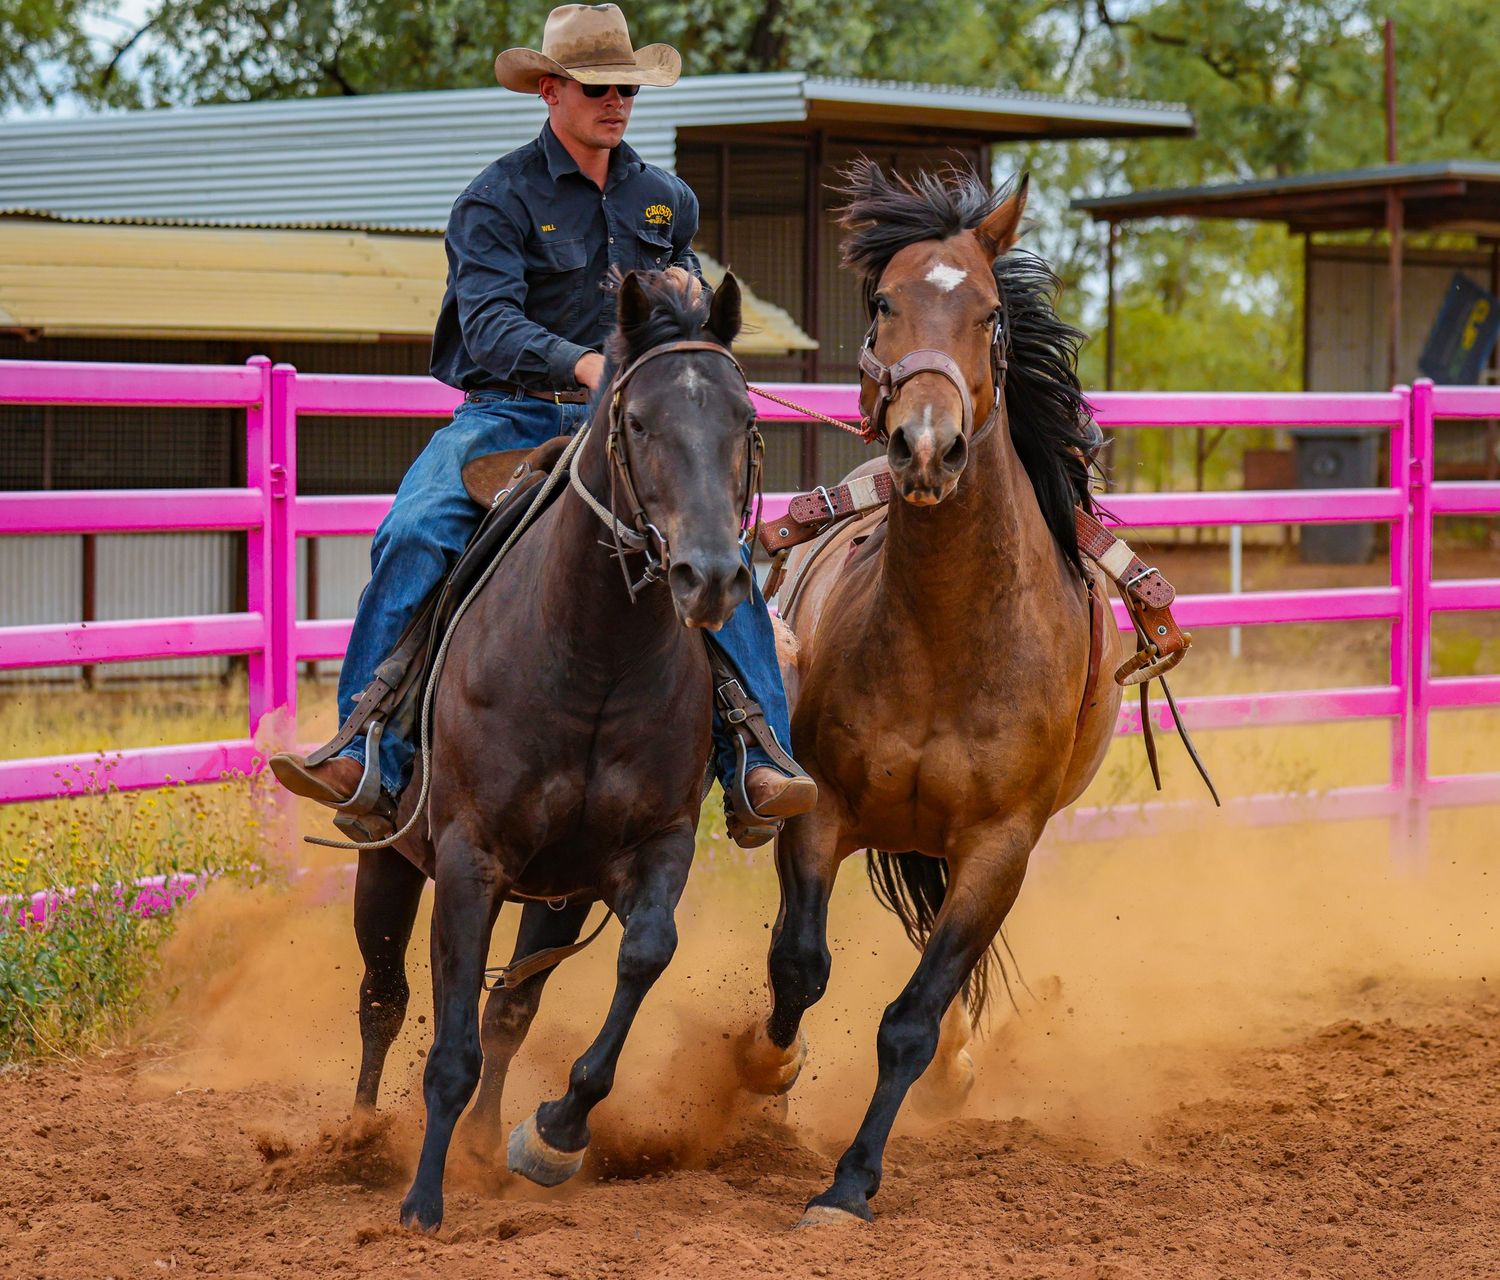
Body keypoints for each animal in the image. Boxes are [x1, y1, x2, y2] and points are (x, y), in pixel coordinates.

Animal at [346, 269, 760, 1233]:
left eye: (743, 419)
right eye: (638, 421)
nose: (711, 575)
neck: (594, 656)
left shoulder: (654, 847)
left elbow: (643, 956)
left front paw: (554, 1132)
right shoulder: (470, 859)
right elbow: (449, 1046)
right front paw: (422, 1202)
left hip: (559, 893)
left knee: (511, 1006)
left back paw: (481, 1143)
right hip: (390, 858)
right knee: (384, 998)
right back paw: (356, 1139)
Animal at [735, 162, 1123, 1225]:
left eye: (989, 313)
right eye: (882, 303)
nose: (925, 447)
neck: (948, 636)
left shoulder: (999, 846)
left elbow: (911, 1016)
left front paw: (851, 1183)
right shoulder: (821, 810)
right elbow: (799, 963)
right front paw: (761, 1068)